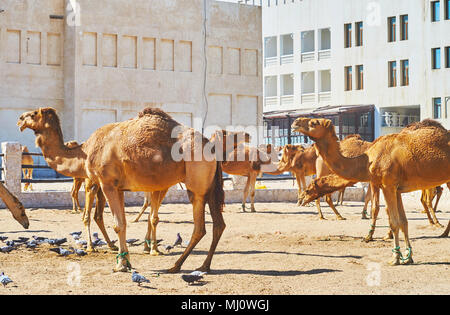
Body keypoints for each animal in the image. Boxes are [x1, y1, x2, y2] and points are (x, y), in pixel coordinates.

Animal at [17, 107, 225, 272]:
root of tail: (210, 146)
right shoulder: (118, 187)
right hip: (209, 187)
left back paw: (176, 266)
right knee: (218, 224)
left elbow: (118, 224)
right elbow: (123, 223)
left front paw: (121, 265)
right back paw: (203, 266)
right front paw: (126, 261)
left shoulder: (107, 183)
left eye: (33, 114)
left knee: (200, 227)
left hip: (196, 185)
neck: (86, 150)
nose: (19, 119)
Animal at [292, 117, 450, 266]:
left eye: (314, 123)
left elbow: (392, 220)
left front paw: (394, 258)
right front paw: (408, 257)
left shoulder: (387, 184)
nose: (295, 122)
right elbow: (403, 222)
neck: (366, 161)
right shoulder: (396, 188)